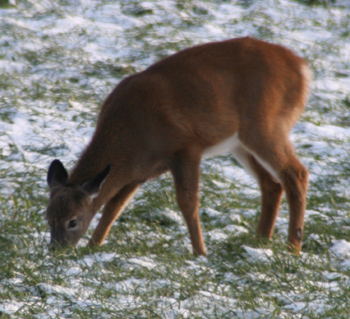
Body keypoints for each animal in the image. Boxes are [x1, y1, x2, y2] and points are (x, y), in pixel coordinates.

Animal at [45, 37, 310, 258]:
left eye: (73, 221)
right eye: (47, 217)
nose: (56, 251)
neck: (133, 134)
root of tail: (302, 69)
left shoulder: (187, 147)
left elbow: (187, 202)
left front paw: (200, 252)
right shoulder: (138, 172)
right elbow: (114, 206)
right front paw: (93, 247)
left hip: (264, 126)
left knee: (296, 173)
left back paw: (293, 248)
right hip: (240, 143)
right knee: (272, 183)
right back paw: (260, 241)